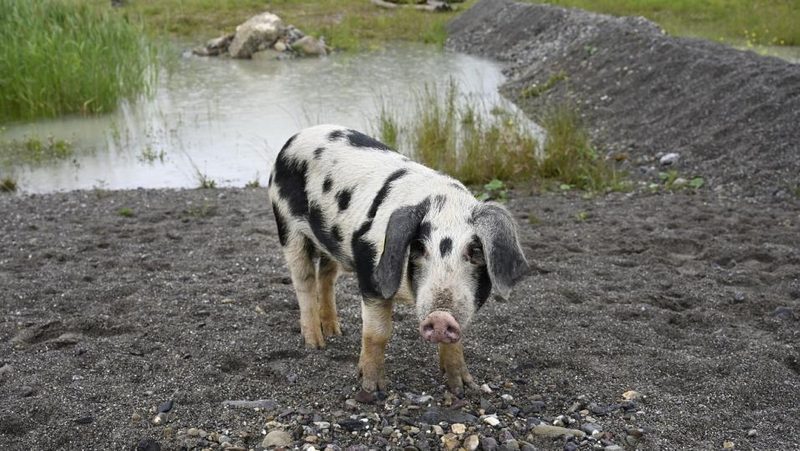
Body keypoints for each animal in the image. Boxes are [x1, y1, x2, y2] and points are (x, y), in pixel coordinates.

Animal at [267, 124, 529, 393]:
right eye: (419, 248)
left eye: (475, 251)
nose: (440, 317)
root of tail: (296, 136)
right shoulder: (370, 273)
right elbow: (377, 332)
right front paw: (372, 387)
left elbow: (456, 342)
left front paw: (462, 386)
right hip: (287, 224)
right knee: (304, 282)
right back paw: (316, 344)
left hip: (330, 240)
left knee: (326, 277)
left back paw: (335, 332)